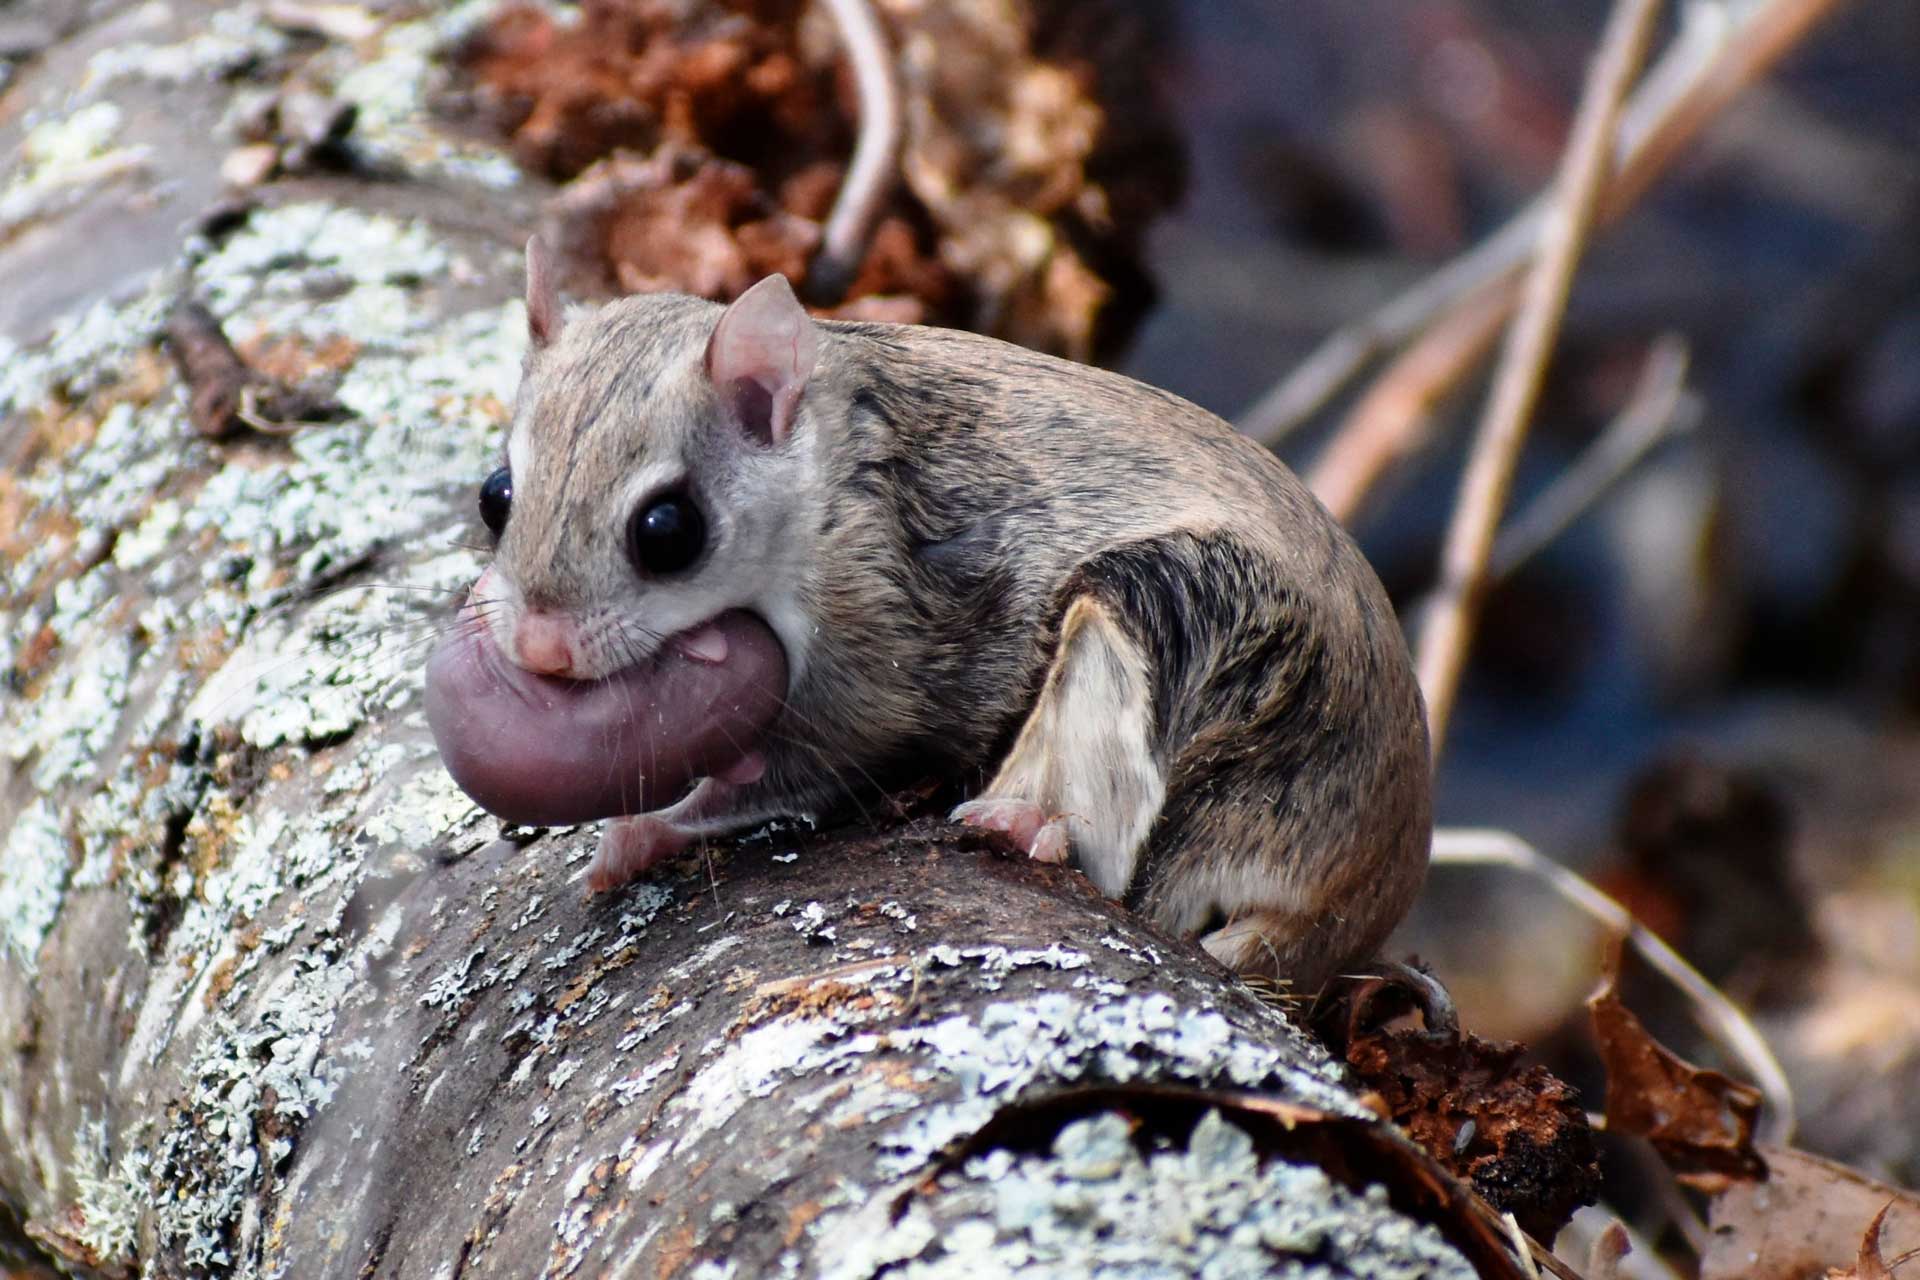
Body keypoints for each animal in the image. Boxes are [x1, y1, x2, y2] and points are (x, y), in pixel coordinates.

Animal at [432, 247, 1428, 990]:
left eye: (667, 531)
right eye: (494, 496)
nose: (540, 649)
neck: (825, 480)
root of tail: (1349, 901)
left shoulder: (868, 652)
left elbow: (798, 777)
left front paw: (644, 831)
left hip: (1176, 617)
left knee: (1117, 848)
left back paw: (1027, 825)